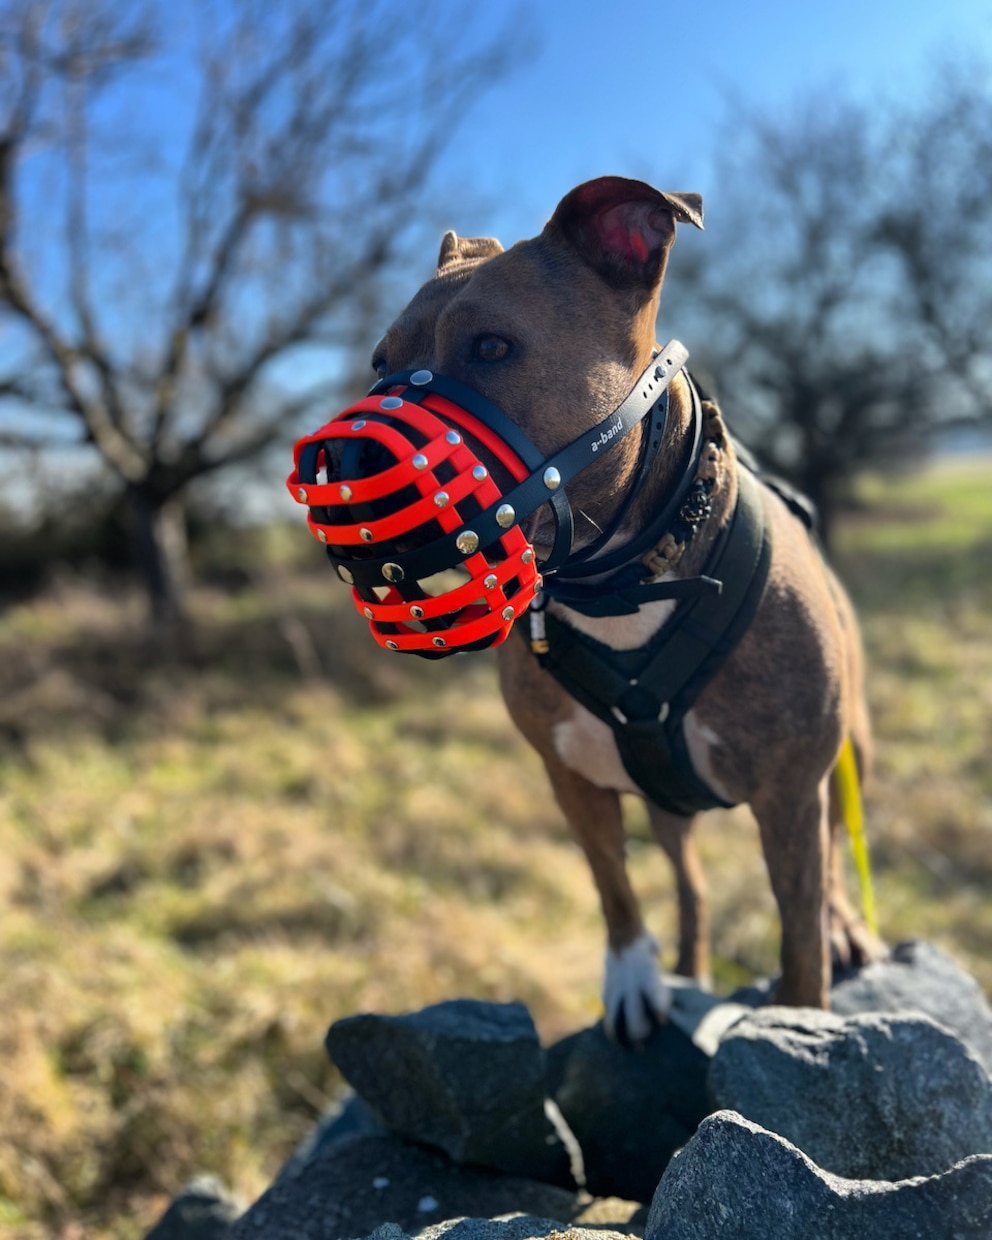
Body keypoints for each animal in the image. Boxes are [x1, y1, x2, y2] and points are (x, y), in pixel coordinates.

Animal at [292, 174, 882, 1041]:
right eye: (380, 360)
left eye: (492, 347)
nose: (340, 455)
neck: (628, 580)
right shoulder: (569, 777)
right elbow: (614, 886)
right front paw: (633, 981)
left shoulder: (789, 794)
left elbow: (801, 931)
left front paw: (802, 1020)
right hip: (671, 811)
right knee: (691, 886)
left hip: (849, 753)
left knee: (838, 849)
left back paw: (845, 927)